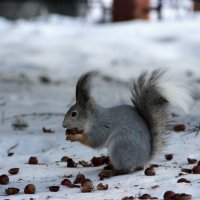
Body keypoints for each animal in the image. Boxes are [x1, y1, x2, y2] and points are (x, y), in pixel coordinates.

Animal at [62, 70, 192, 178]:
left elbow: (95, 141)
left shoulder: (101, 127)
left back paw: (111, 172)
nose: (63, 125)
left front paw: (74, 136)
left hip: (120, 147)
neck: (92, 118)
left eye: (74, 114)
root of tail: (144, 159)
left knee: (125, 170)